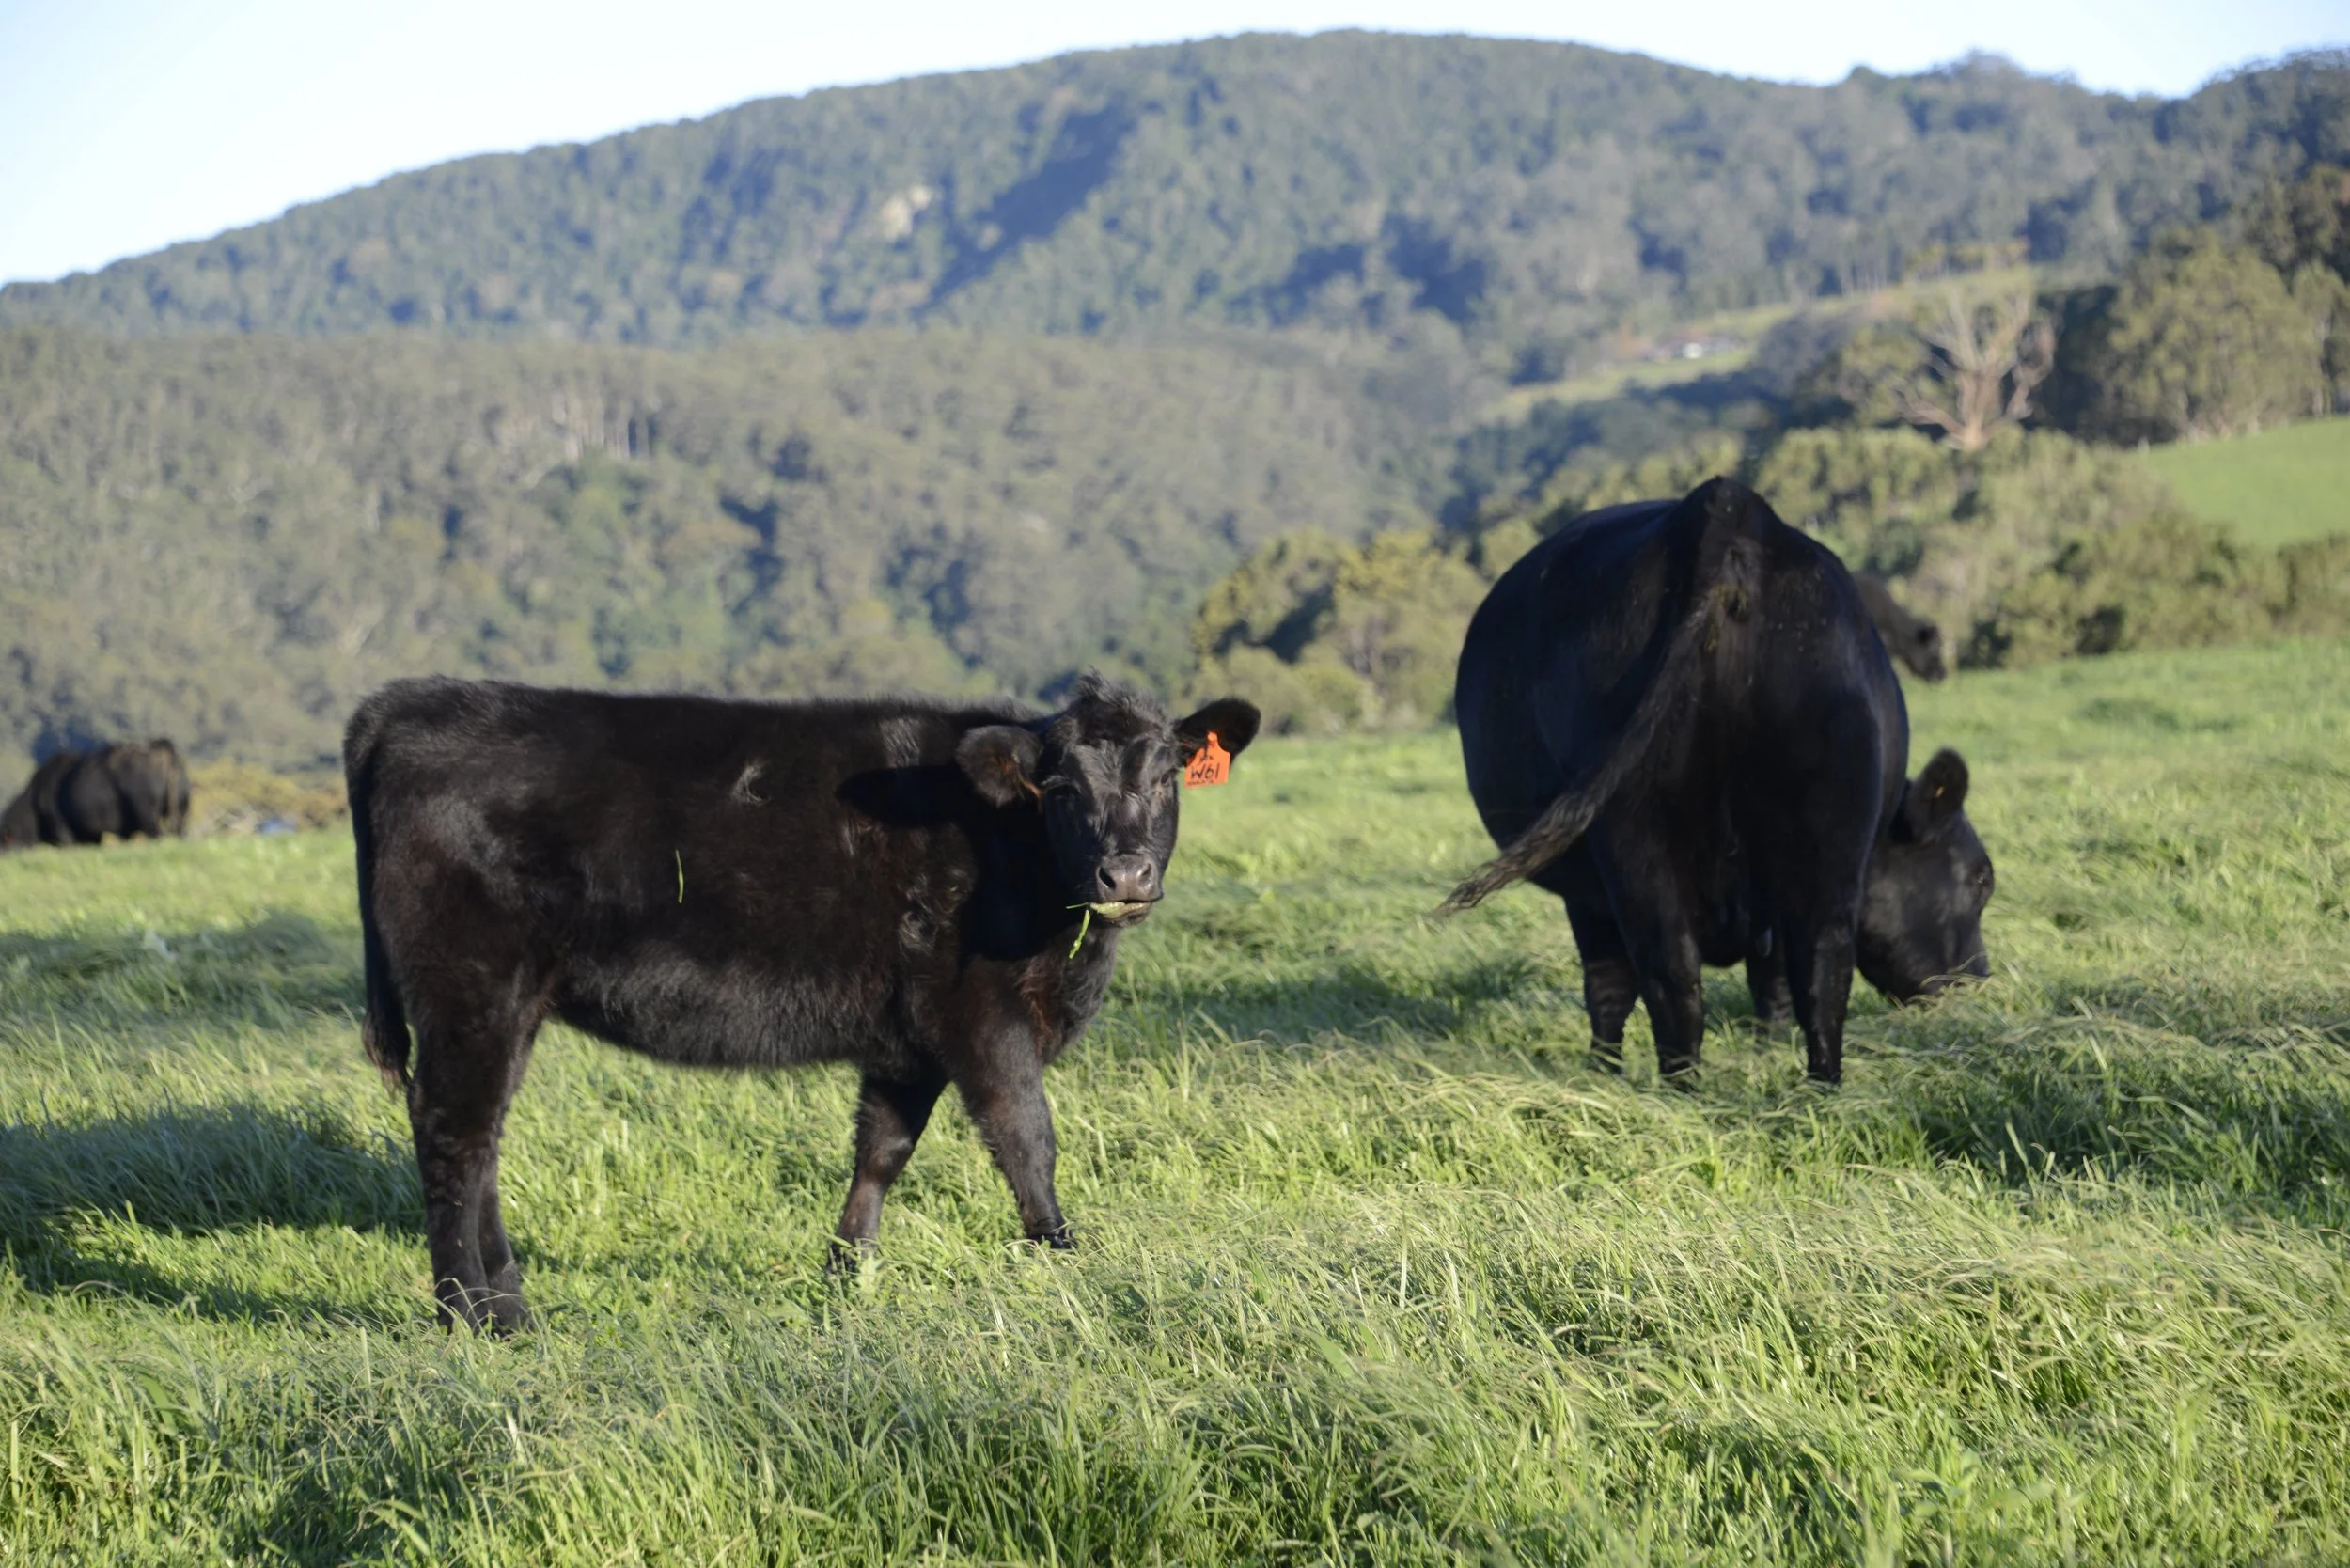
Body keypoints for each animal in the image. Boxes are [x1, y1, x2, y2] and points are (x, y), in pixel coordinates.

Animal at [346, 674, 1260, 1331]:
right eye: (1062, 788)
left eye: (1169, 777)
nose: (1126, 874)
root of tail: (413, 701)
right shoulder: (981, 1015)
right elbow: (1027, 1140)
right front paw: (1066, 1256)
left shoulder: (908, 1036)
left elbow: (882, 1150)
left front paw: (845, 1274)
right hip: (471, 988)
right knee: (455, 1134)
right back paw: (471, 1315)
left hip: (508, 1004)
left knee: (483, 1140)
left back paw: (508, 1305)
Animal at [1445, 478, 1992, 1085]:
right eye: (1980, 880)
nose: (1982, 983)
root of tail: (1731, 506)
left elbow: (1621, 987)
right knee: (1802, 961)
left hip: (1642, 827)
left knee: (1689, 970)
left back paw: (1699, 1088)